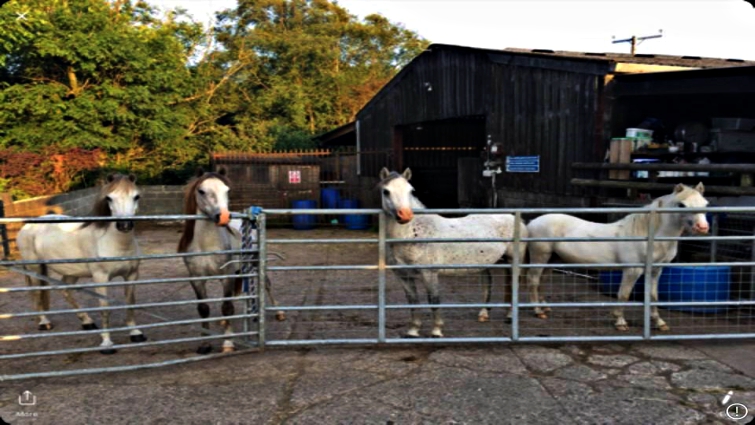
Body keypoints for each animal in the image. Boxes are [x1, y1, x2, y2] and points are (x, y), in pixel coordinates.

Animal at [17, 173, 146, 354]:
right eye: (109, 198)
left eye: (136, 196)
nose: (124, 225)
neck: (113, 242)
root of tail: (28, 226)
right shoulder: (100, 278)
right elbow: (104, 308)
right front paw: (107, 343)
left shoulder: (132, 275)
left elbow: (130, 303)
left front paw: (135, 333)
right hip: (35, 268)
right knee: (37, 293)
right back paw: (44, 323)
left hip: (70, 272)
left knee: (64, 290)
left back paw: (87, 322)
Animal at [178, 168, 285, 355]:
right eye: (201, 191)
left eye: (227, 190)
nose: (223, 217)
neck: (206, 244)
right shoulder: (196, 279)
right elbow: (203, 309)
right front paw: (204, 344)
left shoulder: (226, 276)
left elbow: (226, 307)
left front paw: (228, 344)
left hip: (255, 265)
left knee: (267, 284)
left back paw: (279, 312)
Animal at [378, 167, 527, 338]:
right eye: (386, 191)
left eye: (411, 190)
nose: (405, 215)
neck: (412, 233)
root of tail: (514, 218)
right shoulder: (403, 276)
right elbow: (412, 301)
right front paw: (413, 330)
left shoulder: (429, 273)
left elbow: (434, 300)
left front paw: (436, 331)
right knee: (490, 283)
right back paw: (485, 314)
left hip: (513, 259)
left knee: (513, 284)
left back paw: (510, 316)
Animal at [525, 183, 710, 332]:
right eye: (682, 204)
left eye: (705, 204)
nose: (703, 227)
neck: (648, 235)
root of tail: (533, 222)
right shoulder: (632, 271)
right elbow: (623, 295)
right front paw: (620, 322)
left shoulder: (655, 271)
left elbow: (653, 296)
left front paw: (660, 323)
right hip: (540, 256)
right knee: (533, 280)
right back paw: (538, 311)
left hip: (552, 259)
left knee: (541, 281)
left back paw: (545, 307)